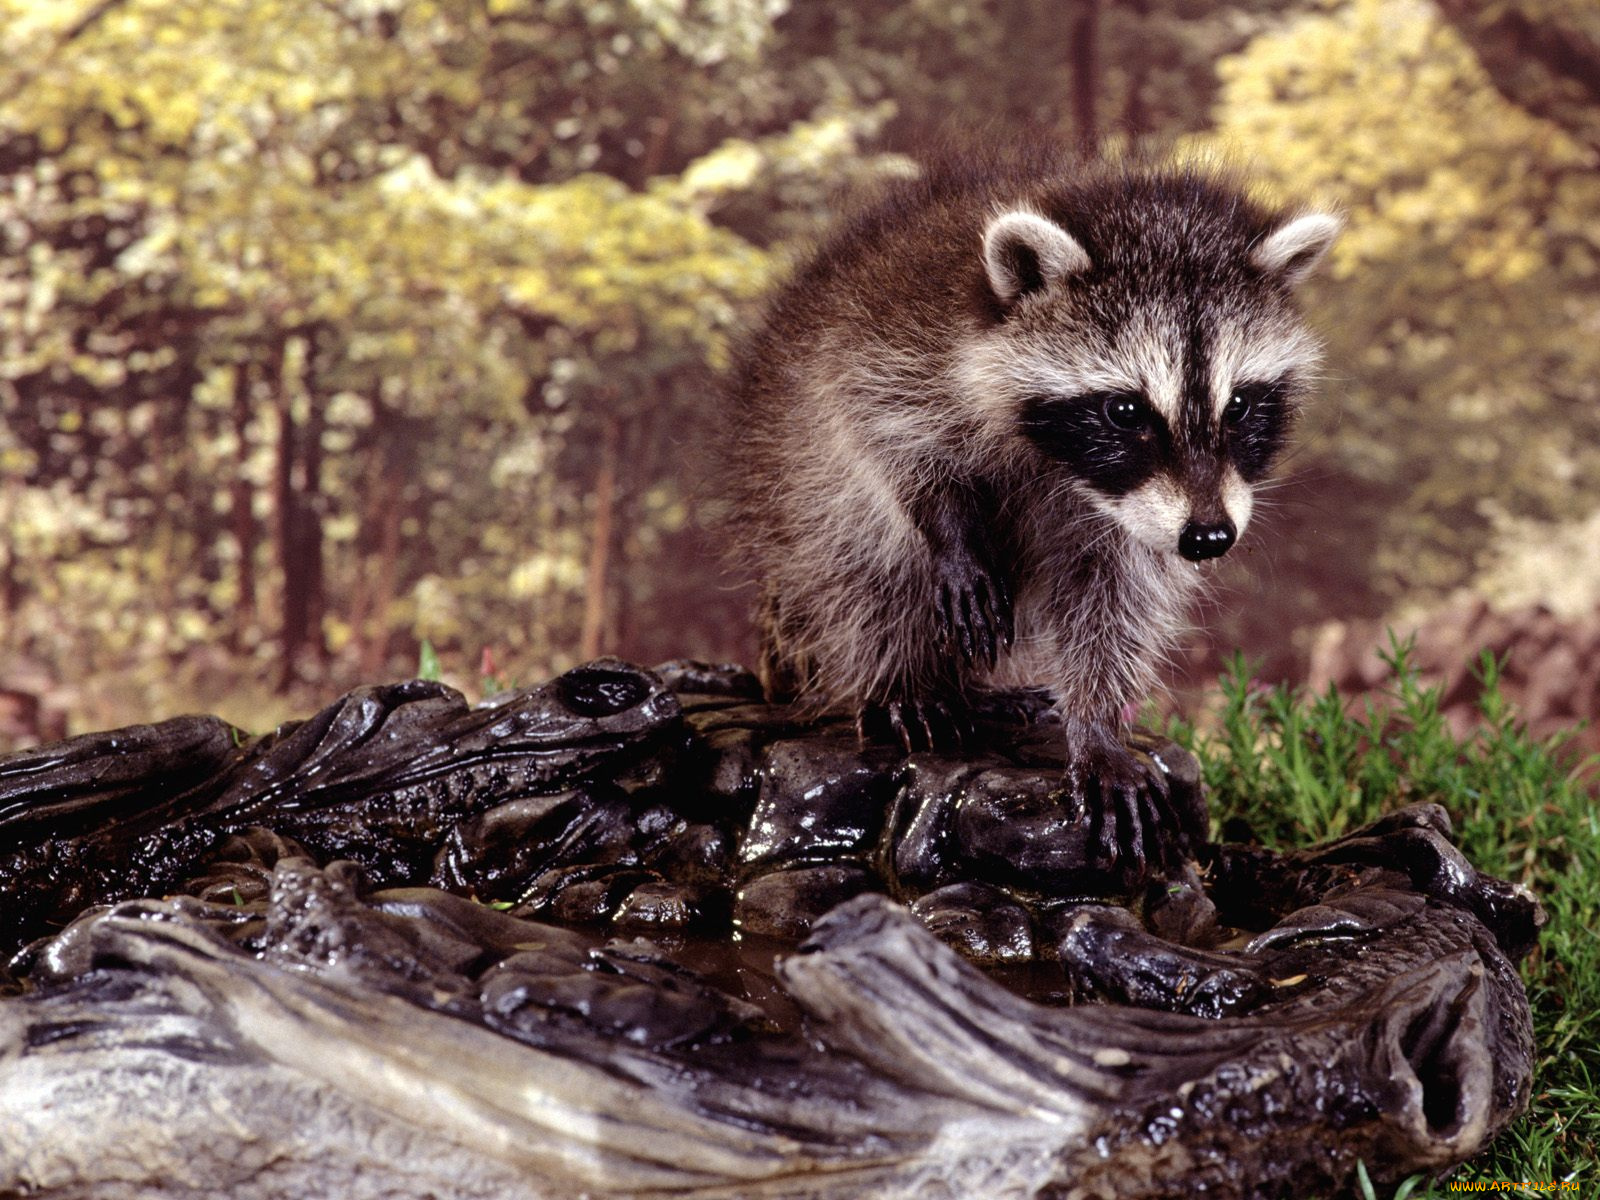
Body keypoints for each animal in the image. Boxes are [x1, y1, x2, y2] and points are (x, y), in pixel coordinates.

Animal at [723, 157, 1337, 876]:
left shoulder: (1139, 521)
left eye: (1239, 405)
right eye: (1126, 411)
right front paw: (948, 528)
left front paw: (1097, 726)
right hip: (788, 494)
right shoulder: (894, 350)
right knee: (855, 557)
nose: (1209, 537)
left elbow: (1115, 601)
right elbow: (885, 440)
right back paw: (901, 676)